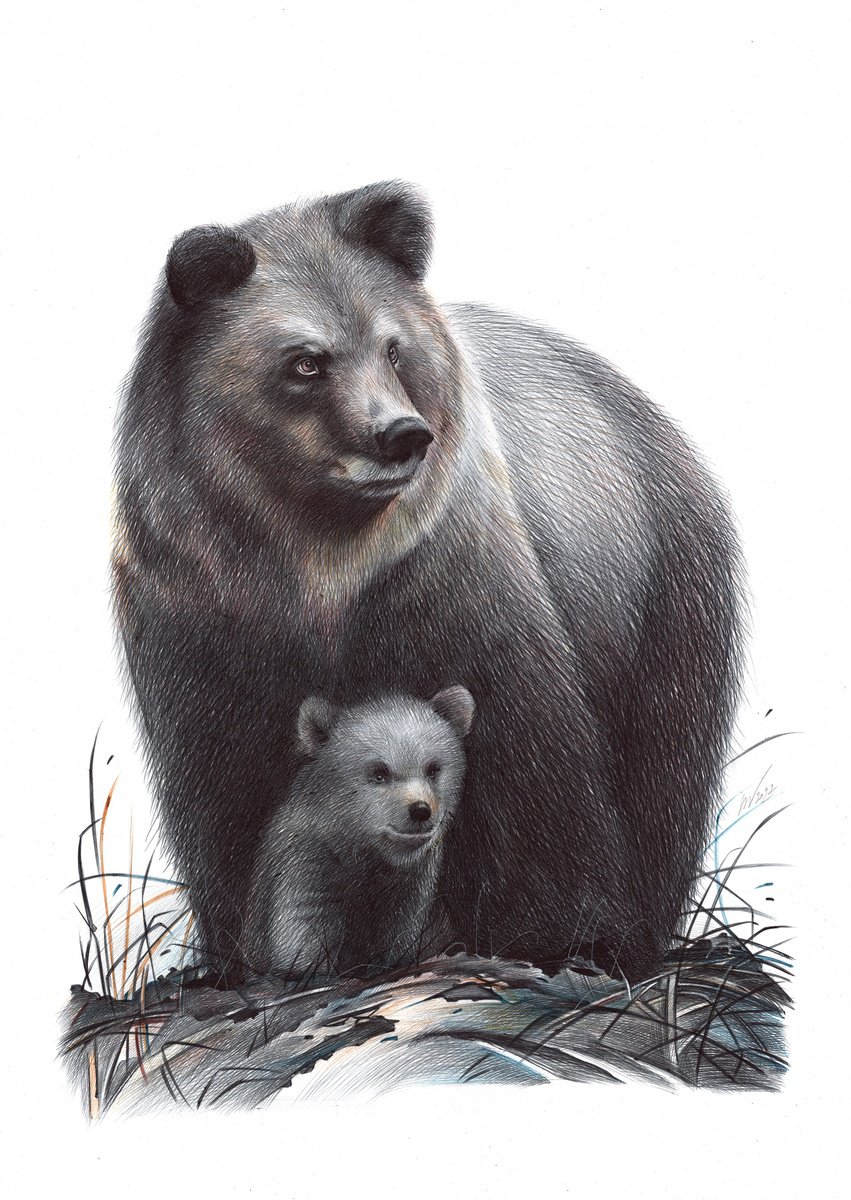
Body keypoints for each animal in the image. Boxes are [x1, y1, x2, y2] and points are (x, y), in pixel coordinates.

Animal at [245, 686, 475, 978]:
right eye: (379, 773)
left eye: (433, 769)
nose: (421, 810)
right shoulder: (307, 868)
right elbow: (302, 934)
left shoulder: (410, 887)